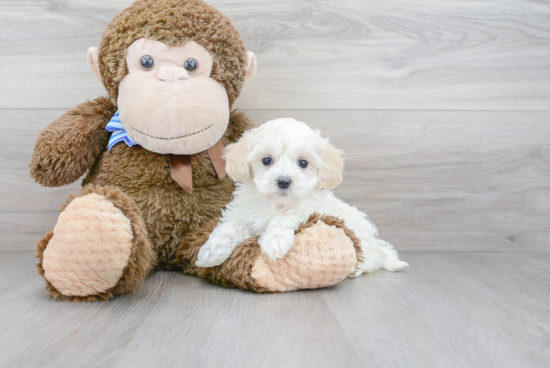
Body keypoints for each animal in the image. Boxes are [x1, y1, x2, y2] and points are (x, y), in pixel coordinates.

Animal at [197, 118, 410, 276]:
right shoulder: (241, 213)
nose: (283, 181)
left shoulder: (312, 210)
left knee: (368, 262)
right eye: (267, 160)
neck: (277, 204)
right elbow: (230, 227)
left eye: (303, 163)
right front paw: (211, 251)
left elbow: (289, 216)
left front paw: (274, 241)